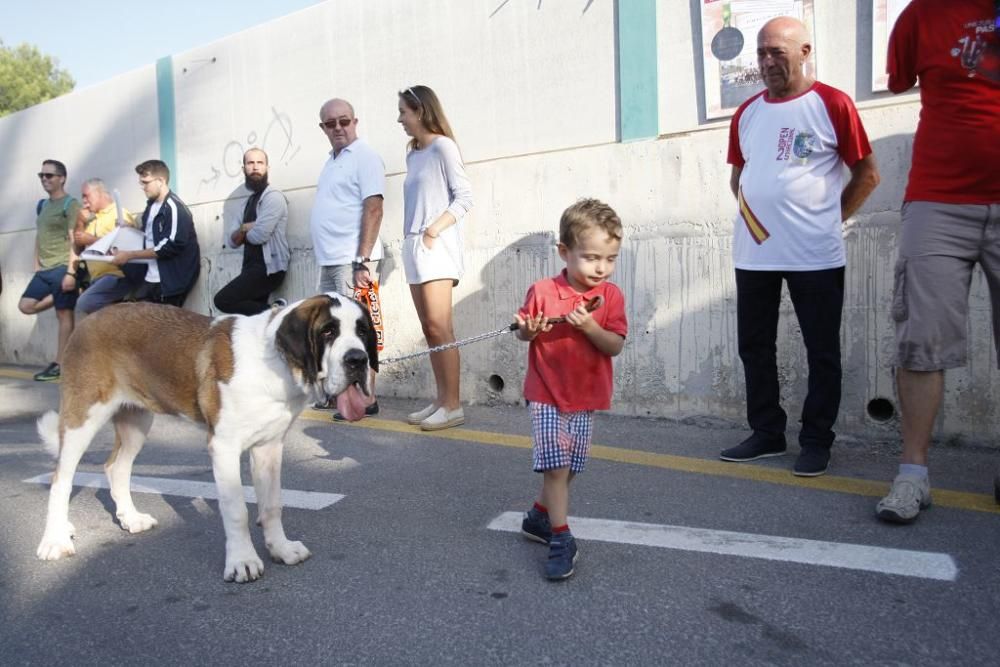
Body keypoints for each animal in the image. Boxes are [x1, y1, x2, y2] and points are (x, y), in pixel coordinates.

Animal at [36, 294, 378, 580]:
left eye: (362, 332)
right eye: (328, 332)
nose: (358, 360)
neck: (275, 364)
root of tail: (89, 319)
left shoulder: (268, 448)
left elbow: (272, 505)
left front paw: (281, 549)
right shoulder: (224, 448)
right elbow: (237, 510)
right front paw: (242, 562)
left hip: (136, 421)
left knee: (115, 467)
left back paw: (130, 519)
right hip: (83, 417)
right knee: (61, 478)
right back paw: (54, 539)